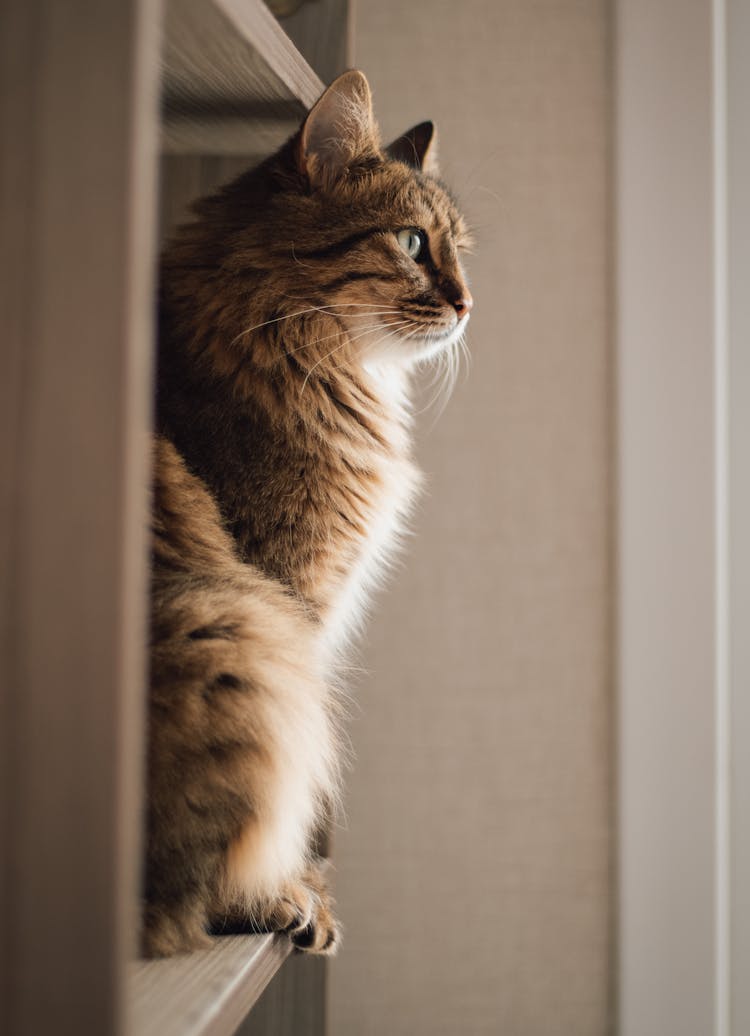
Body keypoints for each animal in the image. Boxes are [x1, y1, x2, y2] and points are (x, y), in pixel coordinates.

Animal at [143, 70, 472, 953]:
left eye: (459, 248)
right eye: (412, 244)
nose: (469, 303)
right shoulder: (292, 598)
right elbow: (283, 814)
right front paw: (280, 896)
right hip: (233, 626)